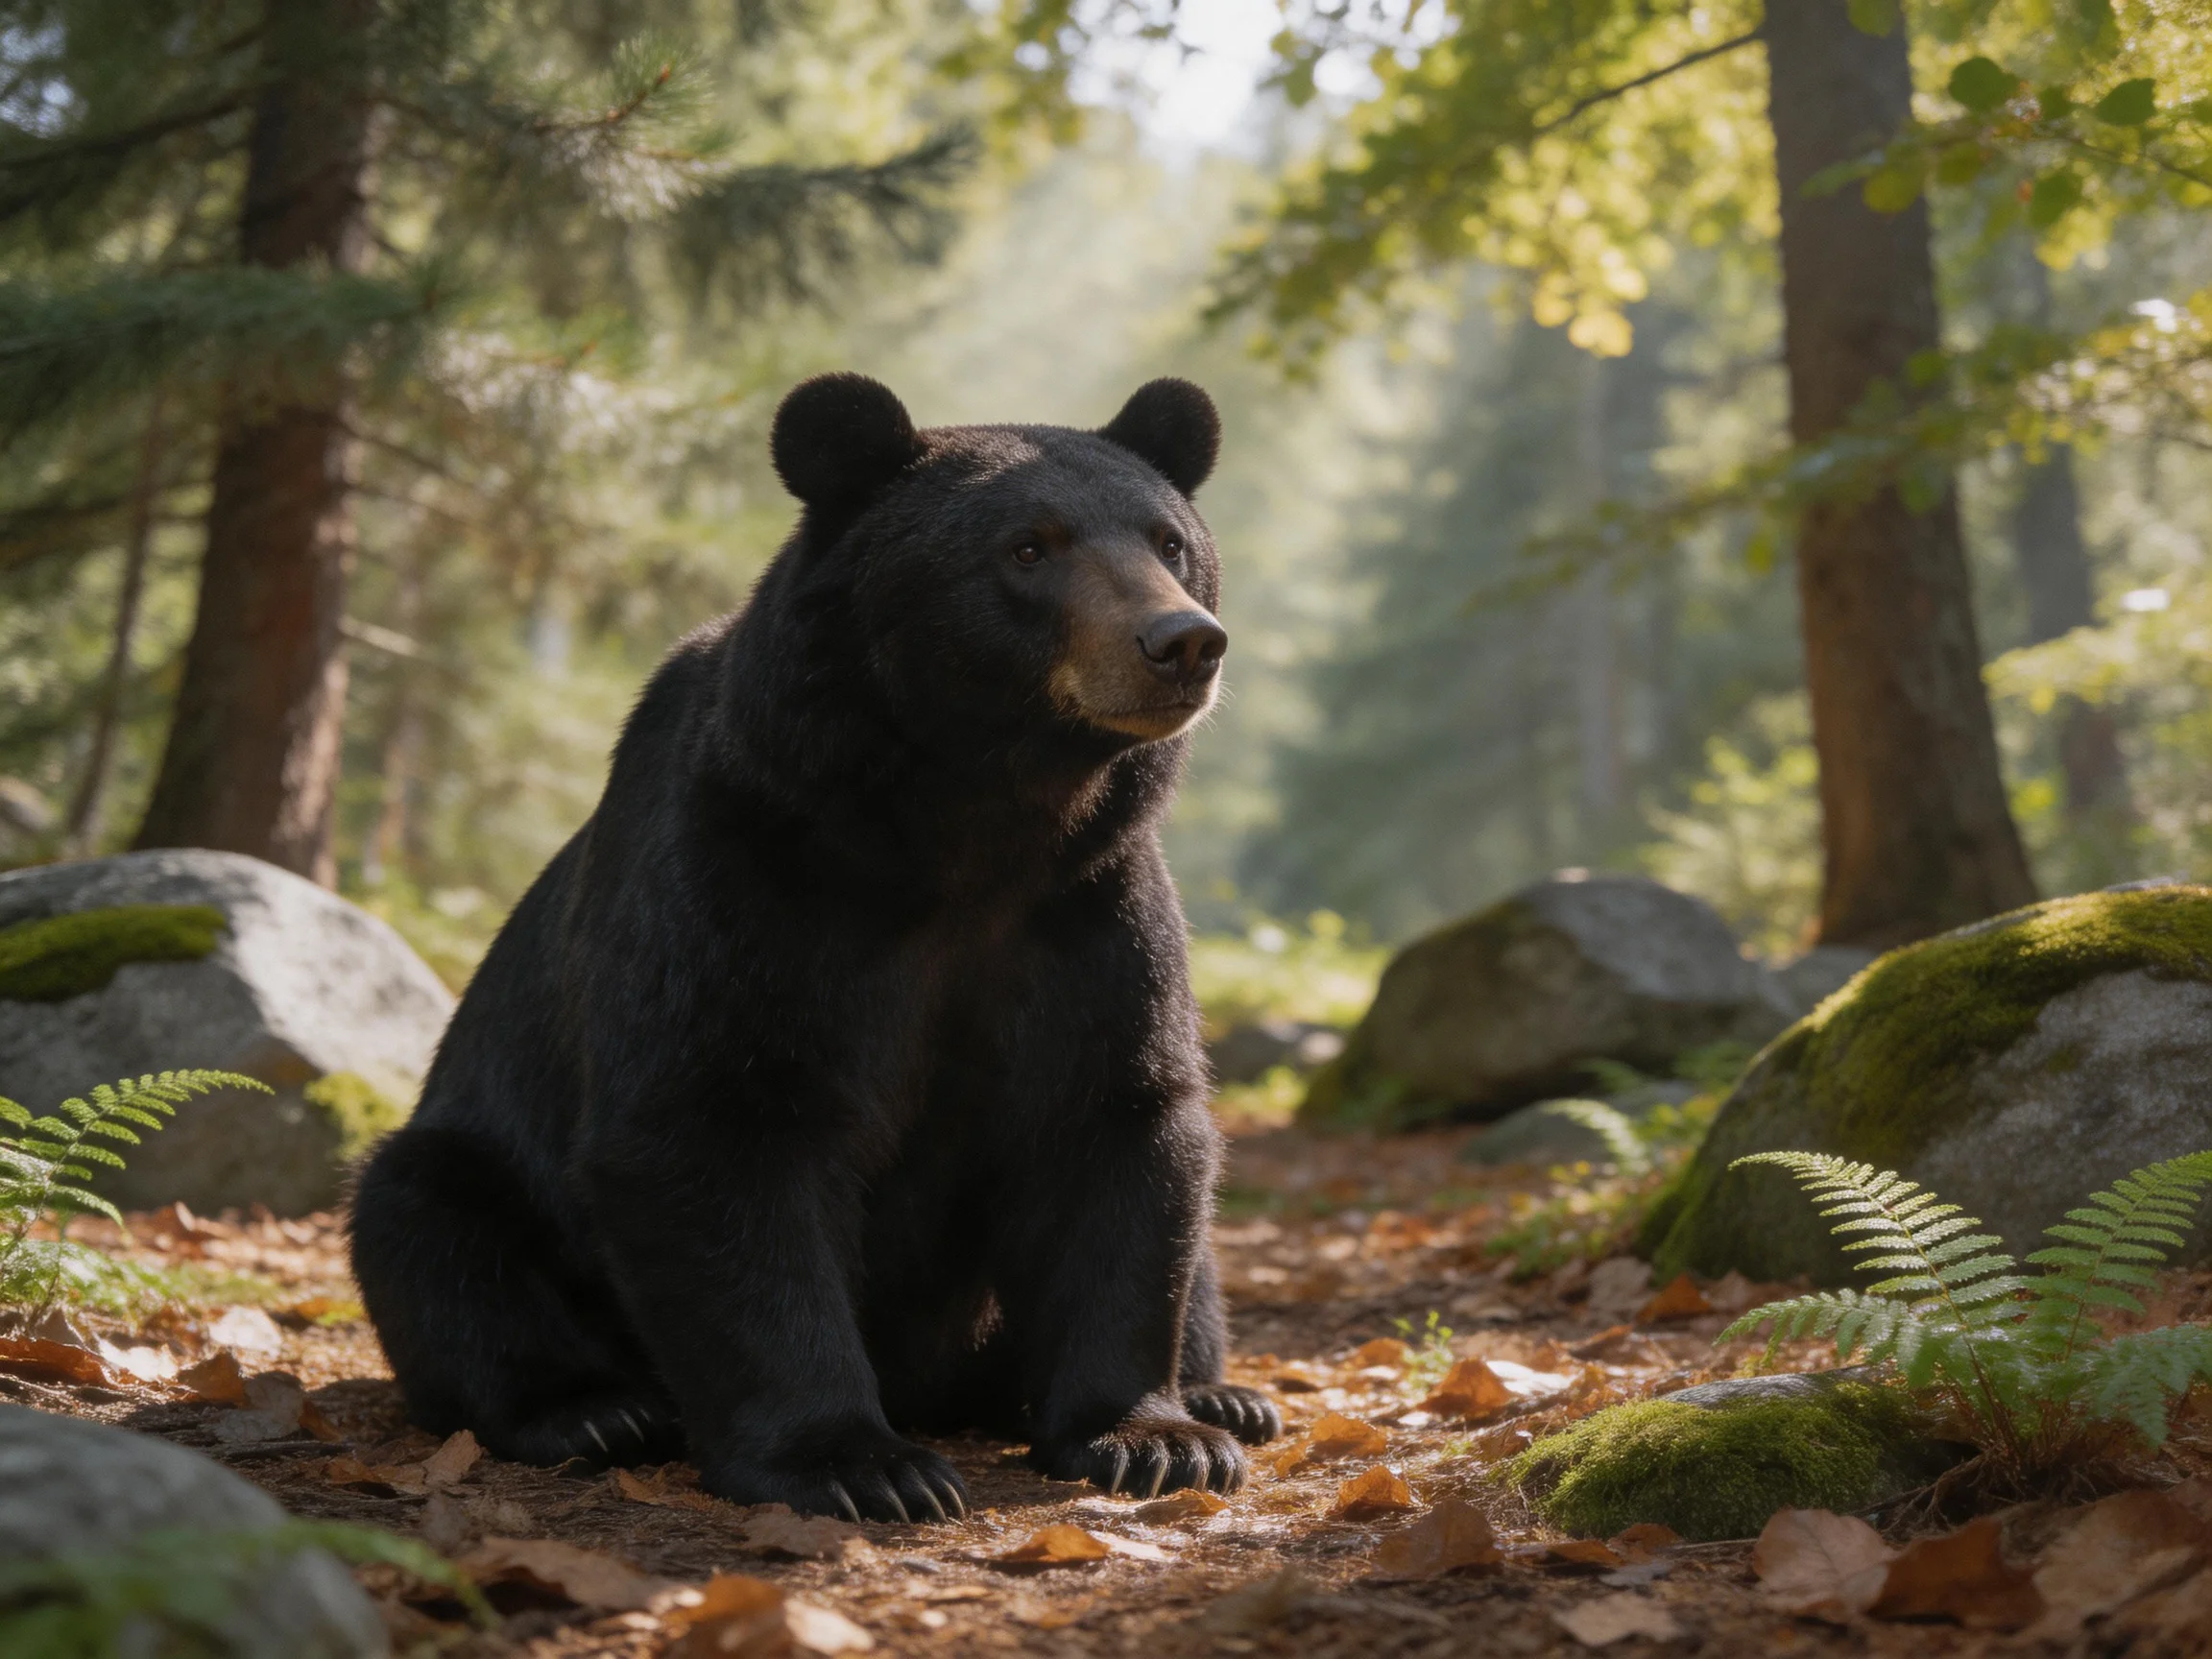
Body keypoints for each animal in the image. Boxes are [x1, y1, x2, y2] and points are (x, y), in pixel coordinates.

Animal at [349, 373, 1283, 1522]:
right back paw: (591, 1410)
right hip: (479, 1168)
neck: (972, 821)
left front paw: (1153, 1438)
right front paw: (860, 1465)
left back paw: (1227, 1395)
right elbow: (718, 1130)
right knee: (430, 1226)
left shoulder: (1086, 912)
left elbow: (1116, 1123)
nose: (1182, 641)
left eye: (1170, 540)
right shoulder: (750, 881)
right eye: (1028, 547)